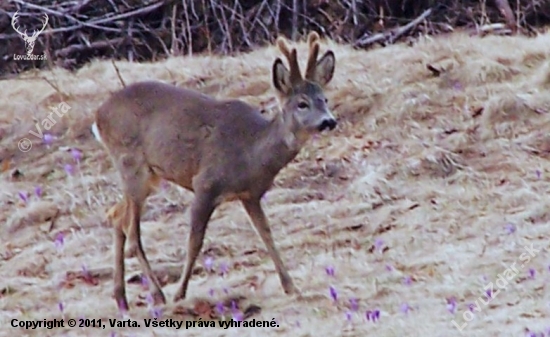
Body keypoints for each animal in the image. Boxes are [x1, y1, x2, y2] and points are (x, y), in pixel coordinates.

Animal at [92, 31, 338, 310]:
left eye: (324, 99)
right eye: (302, 103)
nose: (329, 121)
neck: (252, 153)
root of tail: (98, 116)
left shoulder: (250, 195)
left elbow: (266, 234)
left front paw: (291, 286)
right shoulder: (206, 184)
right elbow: (195, 242)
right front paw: (180, 294)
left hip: (149, 175)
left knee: (116, 215)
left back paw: (121, 298)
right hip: (132, 164)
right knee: (132, 232)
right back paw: (158, 294)